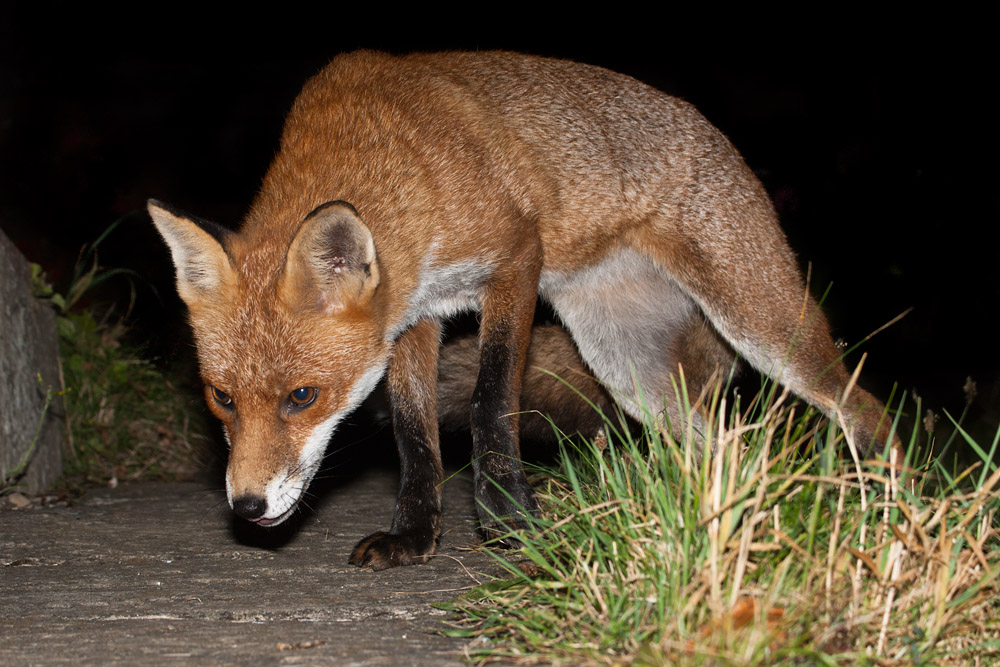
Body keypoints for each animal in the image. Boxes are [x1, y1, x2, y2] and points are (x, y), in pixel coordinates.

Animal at [148, 50, 896, 571]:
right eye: (221, 398)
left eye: (302, 396)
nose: (246, 506)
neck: (399, 162)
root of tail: (720, 137)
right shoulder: (412, 317)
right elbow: (415, 437)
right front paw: (415, 537)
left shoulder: (514, 261)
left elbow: (489, 403)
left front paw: (510, 521)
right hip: (631, 371)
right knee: (725, 447)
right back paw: (716, 525)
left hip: (760, 321)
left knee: (861, 407)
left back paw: (887, 506)